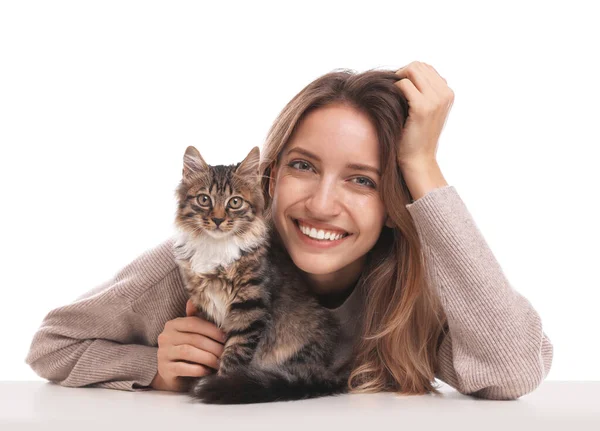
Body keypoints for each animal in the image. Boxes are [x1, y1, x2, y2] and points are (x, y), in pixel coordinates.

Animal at [172, 146, 352, 404]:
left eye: (235, 202)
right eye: (204, 199)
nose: (217, 220)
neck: (217, 248)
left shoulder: (250, 307)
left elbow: (234, 353)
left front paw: (222, 384)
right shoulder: (206, 305)